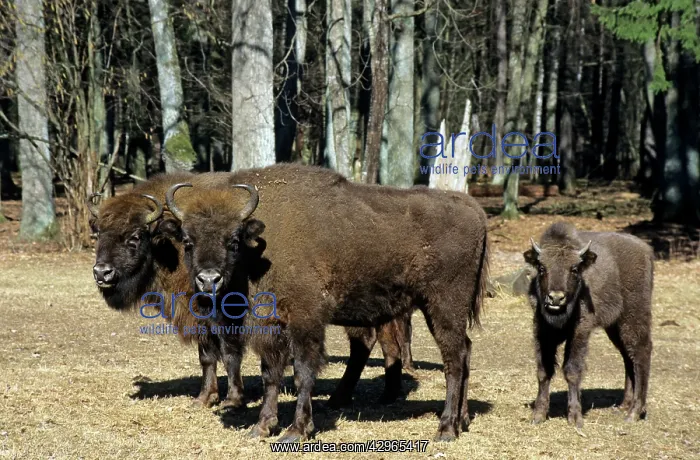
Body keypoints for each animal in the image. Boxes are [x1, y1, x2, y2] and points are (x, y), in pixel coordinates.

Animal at [163, 163, 489, 442]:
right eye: (188, 242)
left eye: (233, 241)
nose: (208, 279)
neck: (259, 250)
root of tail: (473, 209)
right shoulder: (271, 328)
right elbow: (271, 375)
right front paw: (262, 427)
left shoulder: (305, 321)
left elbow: (303, 373)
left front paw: (297, 430)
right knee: (465, 351)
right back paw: (462, 420)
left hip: (443, 305)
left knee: (454, 360)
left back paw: (446, 429)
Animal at [524, 222, 653, 428]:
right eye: (542, 267)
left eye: (574, 269)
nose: (556, 298)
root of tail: (646, 250)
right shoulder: (542, 332)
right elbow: (543, 371)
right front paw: (538, 416)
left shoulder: (580, 331)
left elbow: (572, 370)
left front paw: (575, 418)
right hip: (615, 327)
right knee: (628, 357)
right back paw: (624, 406)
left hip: (633, 317)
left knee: (641, 353)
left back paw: (633, 413)